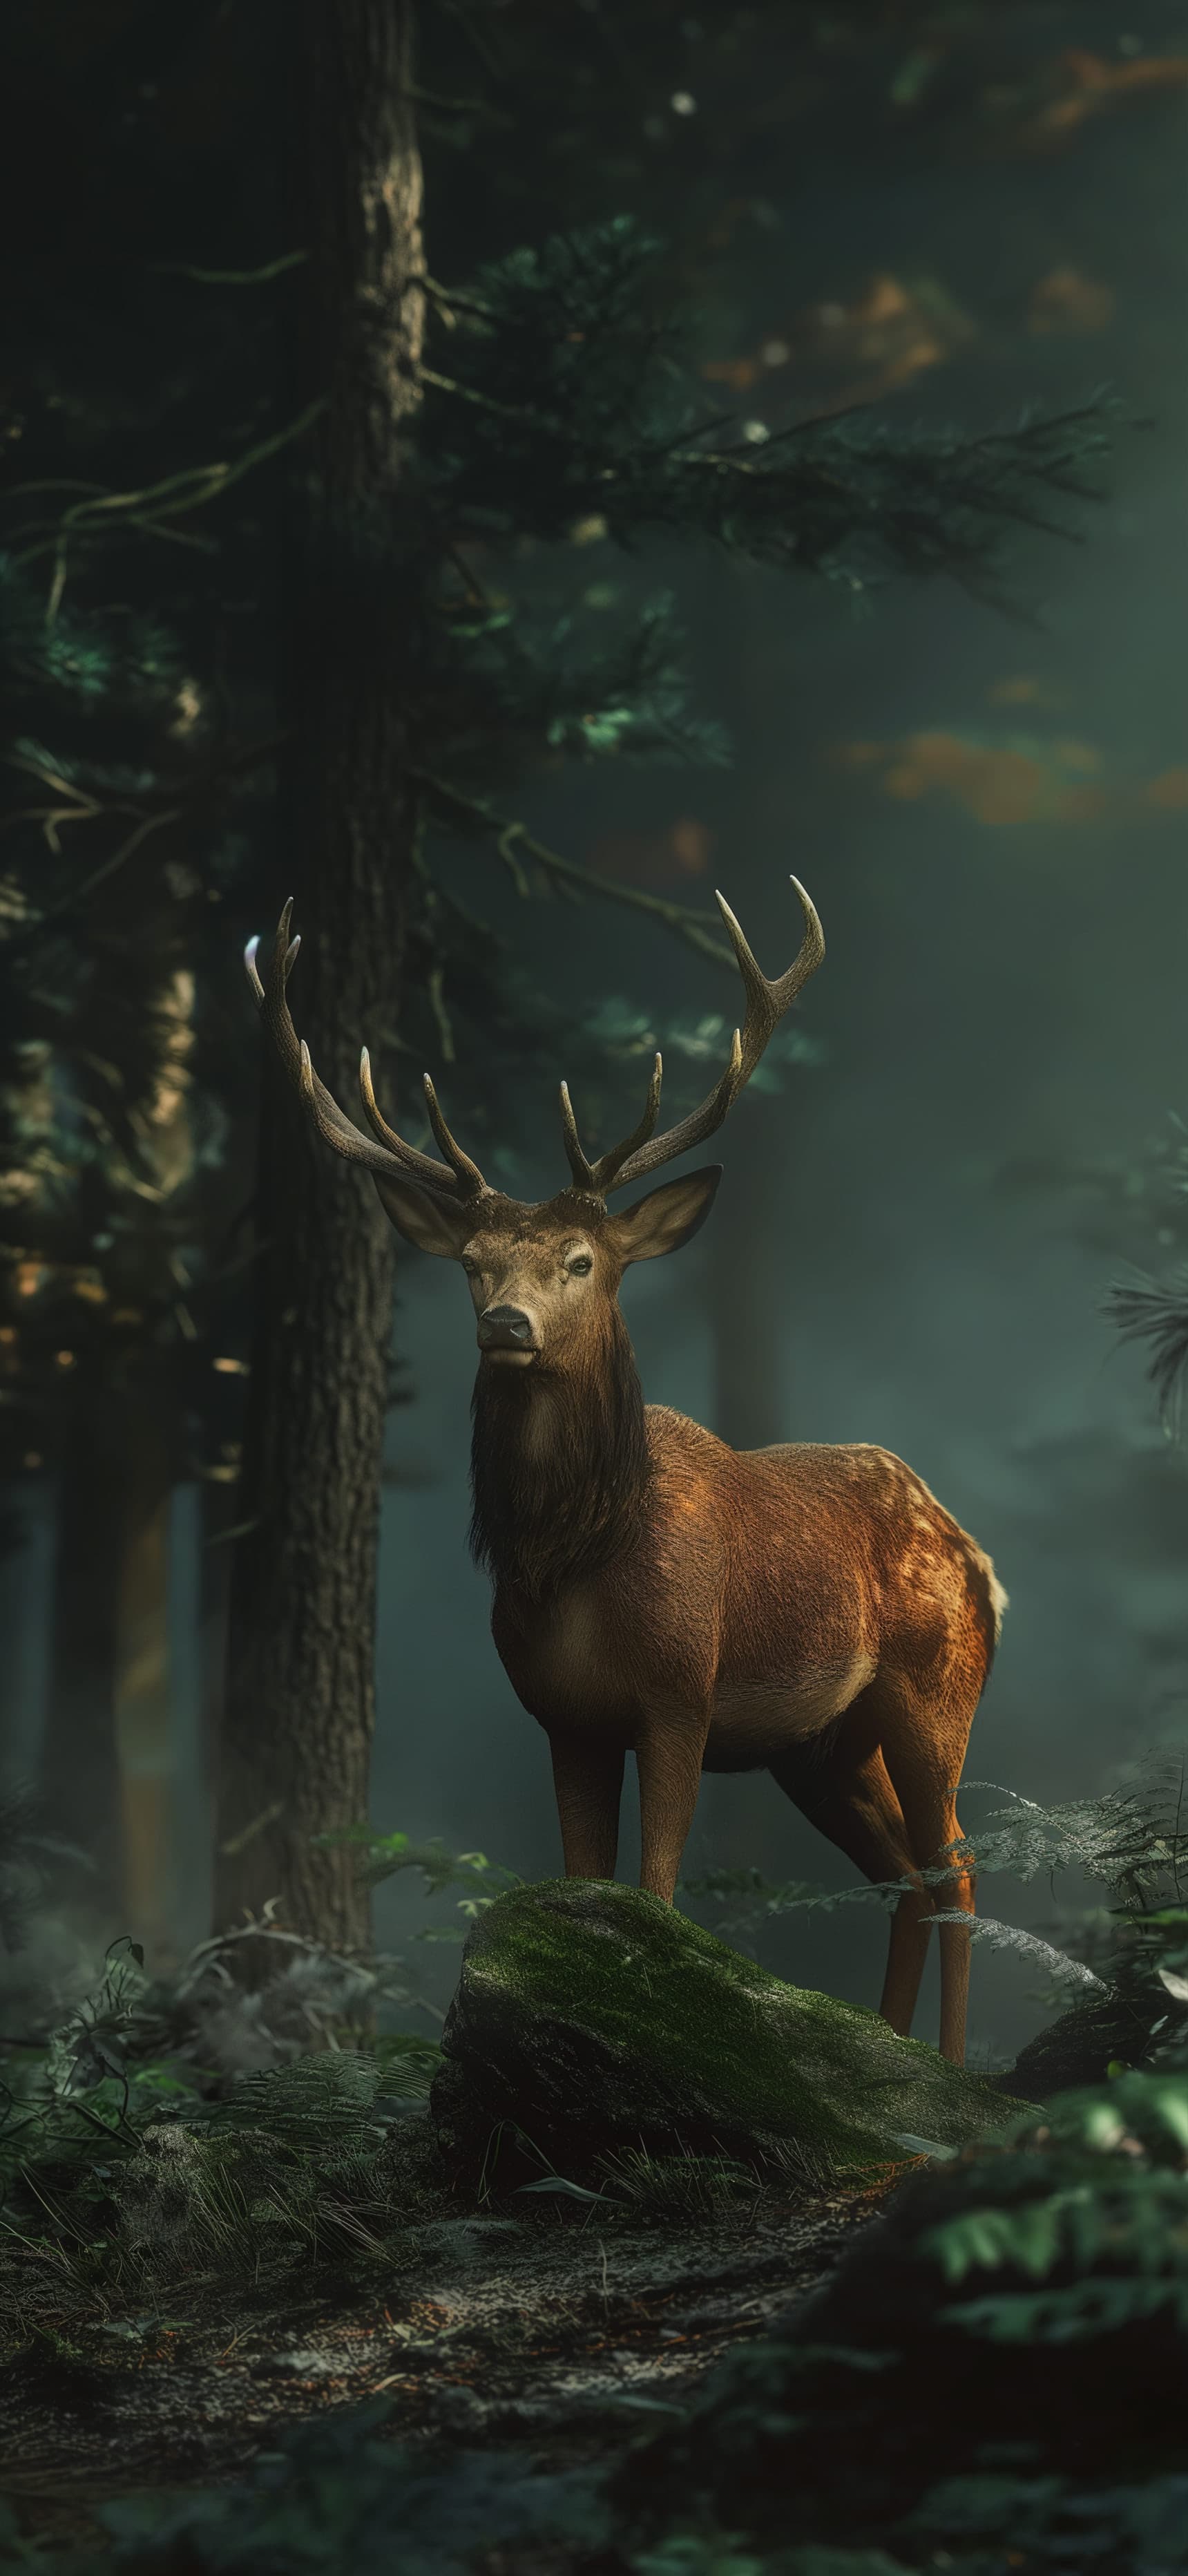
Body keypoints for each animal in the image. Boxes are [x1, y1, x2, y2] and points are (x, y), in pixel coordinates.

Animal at [246, 880, 1005, 2063]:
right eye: (473, 1266)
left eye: (581, 1261)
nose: (507, 1324)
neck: (580, 1564)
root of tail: (979, 1559)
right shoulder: (564, 1717)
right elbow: (581, 1881)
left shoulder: (681, 1694)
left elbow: (657, 1892)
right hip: (821, 1747)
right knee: (906, 1880)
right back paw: (888, 2046)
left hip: (936, 1688)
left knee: (957, 1870)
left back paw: (957, 2067)